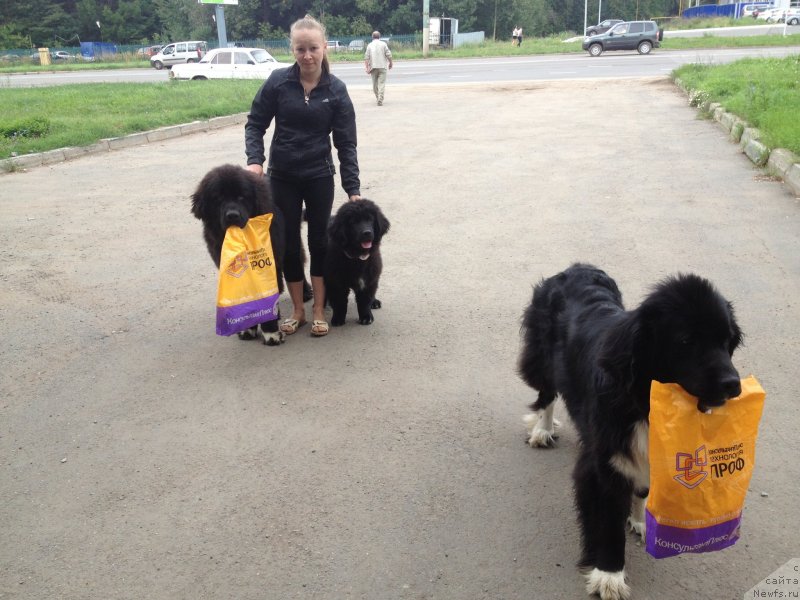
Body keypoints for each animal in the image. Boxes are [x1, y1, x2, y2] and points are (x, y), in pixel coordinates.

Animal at [520, 264, 744, 600]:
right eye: (686, 341)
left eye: (726, 341)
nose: (733, 384)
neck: (645, 402)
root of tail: (577, 267)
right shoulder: (604, 461)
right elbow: (607, 523)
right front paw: (609, 576)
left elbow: (643, 488)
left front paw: (640, 519)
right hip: (543, 357)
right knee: (547, 392)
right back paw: (543, 430)